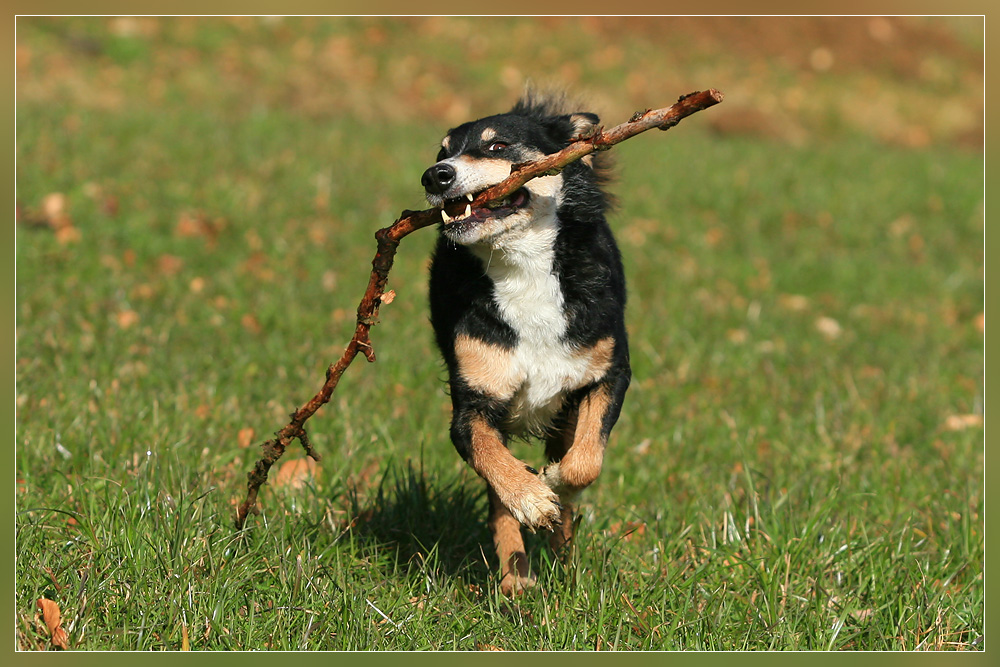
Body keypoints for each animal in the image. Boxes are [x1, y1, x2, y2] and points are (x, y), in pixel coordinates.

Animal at [424, 92, 628, 596]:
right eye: (441, 152)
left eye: (497, 147)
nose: (435, 176)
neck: (523, 267)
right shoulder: (472, 406)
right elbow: (496, 470)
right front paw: (532, 500)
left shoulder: (610, 374)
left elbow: (584, 464)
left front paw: (554, 486)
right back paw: (516, 577)